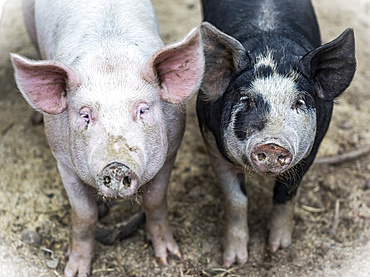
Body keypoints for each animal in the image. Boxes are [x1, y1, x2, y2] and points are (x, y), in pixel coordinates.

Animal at [11, 1, 204, 274]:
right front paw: (74, 271)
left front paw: (169, 257)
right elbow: (84, 215)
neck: (110, 53)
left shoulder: (172, 150)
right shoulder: (62, 161)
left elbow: (155, 202)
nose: (116, 165)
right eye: (85, 115)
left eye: (143, 110)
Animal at [197, 0, 356, 266]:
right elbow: (235, 199)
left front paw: (277, 248)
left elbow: (285, 193)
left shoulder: (314, 146)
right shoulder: (211, 142)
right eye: (245, 99)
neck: (271, 45)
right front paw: (234, 261)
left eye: (300, 101)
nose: (272, 144)